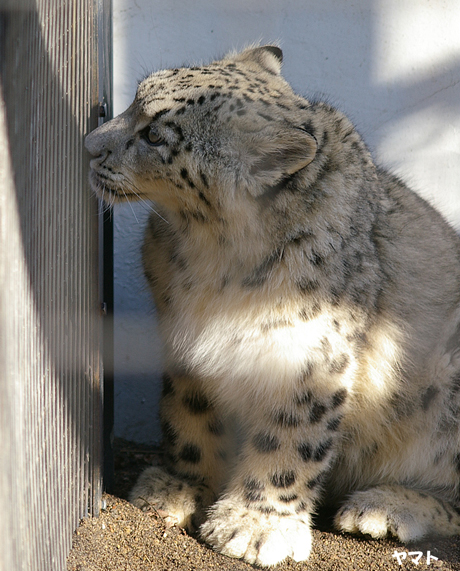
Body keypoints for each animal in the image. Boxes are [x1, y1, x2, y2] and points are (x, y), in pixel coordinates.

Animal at [84, 45, 460, 568]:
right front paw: (178, 487)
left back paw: (382, 508)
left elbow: (290, 438)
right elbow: (189, 413)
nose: (89, 145)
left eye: (157, 135)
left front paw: (255, 527)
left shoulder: (310, 353)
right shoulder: (184, 339)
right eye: (134, 100)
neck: (210, 256)